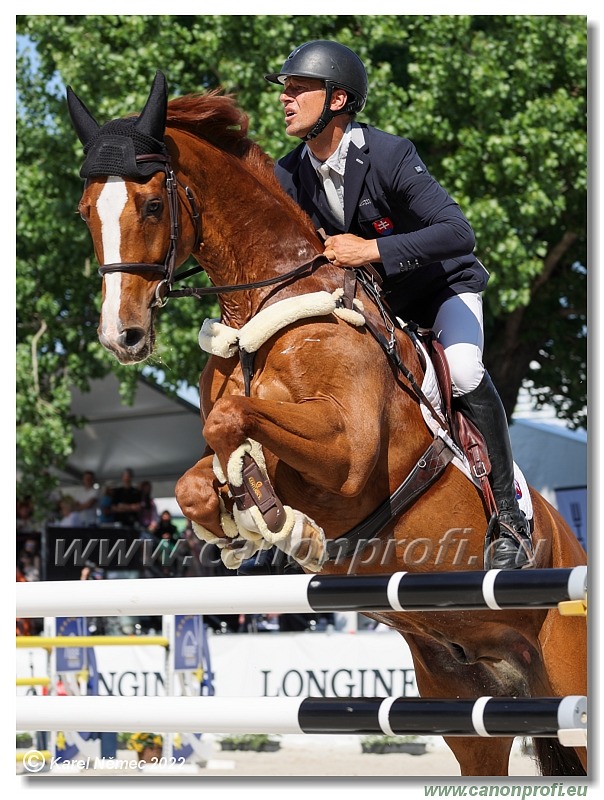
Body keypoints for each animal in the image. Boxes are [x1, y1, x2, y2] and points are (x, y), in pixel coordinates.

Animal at [67, 70, 584, 776]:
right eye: (85, 211)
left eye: (149, 206)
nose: (121, 336)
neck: (264, 302)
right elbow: (200, 476)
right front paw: (243, 522)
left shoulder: (349, 456)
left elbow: (233, 420)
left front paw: (279, 523)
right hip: (467, 696)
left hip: (566, 670)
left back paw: (510, 538)